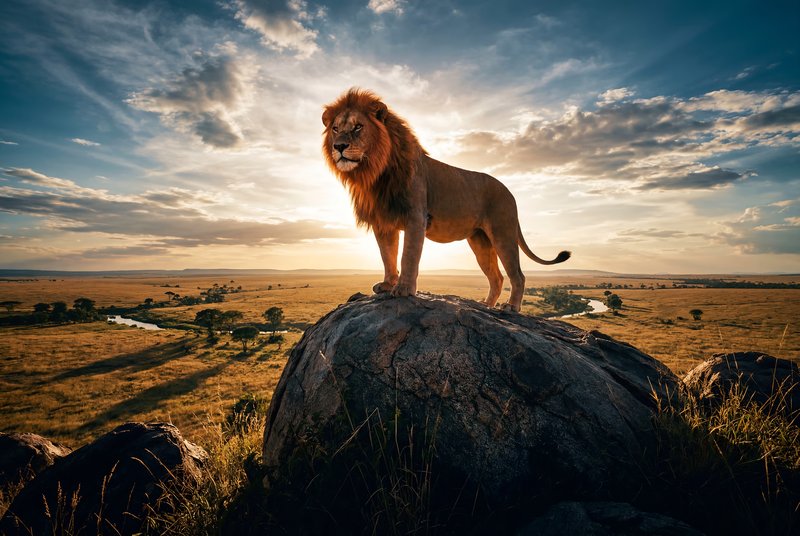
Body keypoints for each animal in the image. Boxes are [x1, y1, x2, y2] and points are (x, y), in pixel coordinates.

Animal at [322, 88, 571, 312]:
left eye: (358, 127)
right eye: (335, 128)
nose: (339, 146)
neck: (374, 172)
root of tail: (509, 192)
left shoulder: (416, 216)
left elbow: (408, 256)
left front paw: (403, 289)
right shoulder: (383, 222)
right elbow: (387, 255)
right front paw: (387, 284)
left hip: (503, 232)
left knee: (517, 274)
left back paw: (511, 307)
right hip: (480, 241)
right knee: (497, 277)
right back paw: (486, 305)